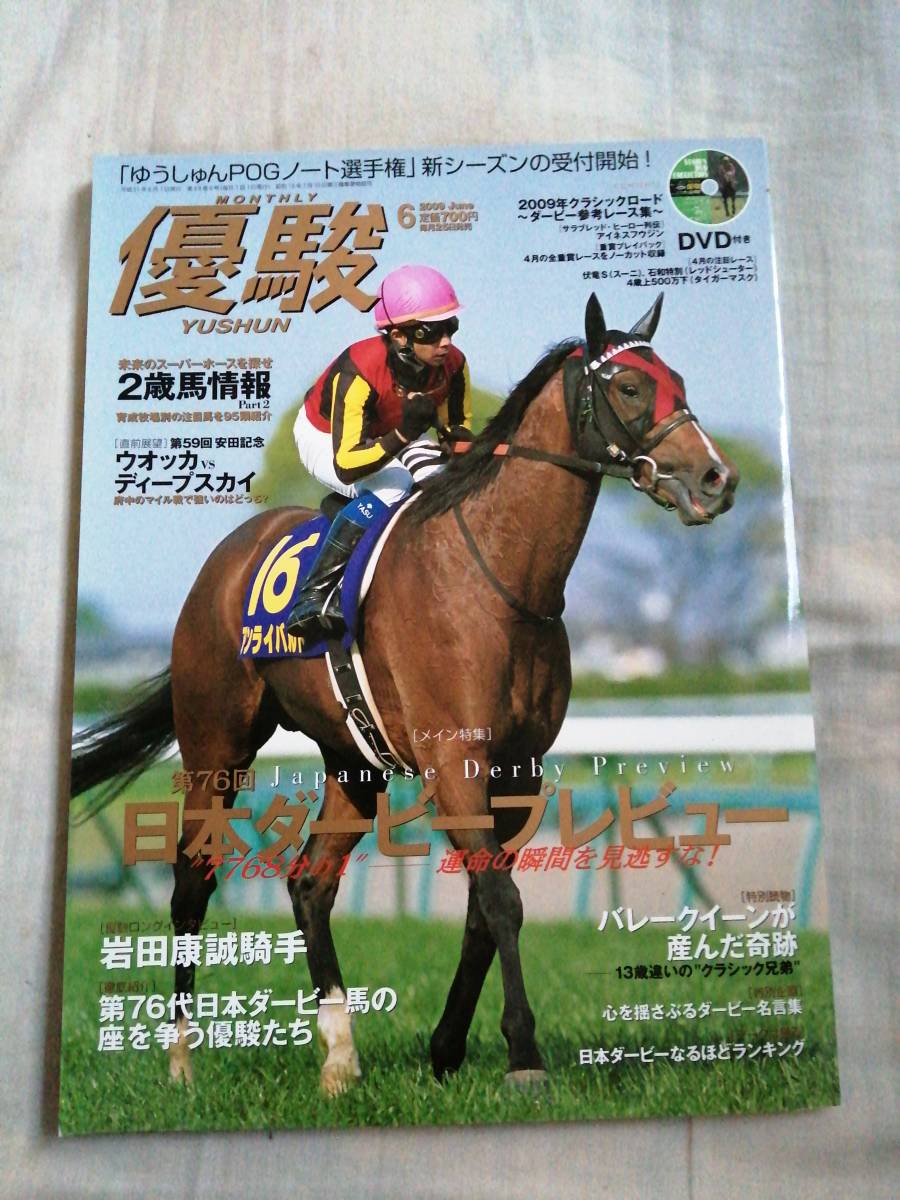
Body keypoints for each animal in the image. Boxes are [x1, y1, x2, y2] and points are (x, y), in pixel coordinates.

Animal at [71, 293, 738, 1095]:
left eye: (677, 379)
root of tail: (223, 562)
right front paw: (523, 1056)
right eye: (632, 387)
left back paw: (339, 1056)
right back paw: (180, 1057)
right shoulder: (454, 762)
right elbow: (501, 901)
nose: (716, 478)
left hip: (351, 760)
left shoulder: (518, 771)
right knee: (192, 880)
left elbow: (484, 906)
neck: (499, 578)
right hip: (216, 746)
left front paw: (448, 1047)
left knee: (309, 882)